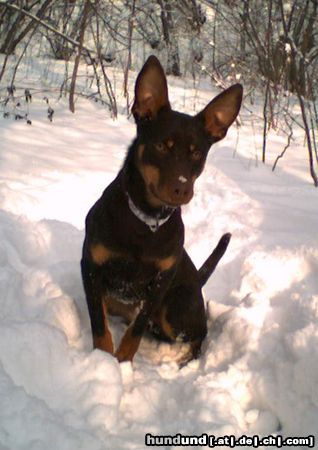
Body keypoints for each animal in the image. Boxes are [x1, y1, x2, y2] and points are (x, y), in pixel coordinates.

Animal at [80, 57, 242, 366]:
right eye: (160, 146)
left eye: (196, 153)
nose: (182, 189)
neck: (147, 221)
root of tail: (198, 283)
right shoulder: (92, 269)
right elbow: (99, 325)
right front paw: (104, 362)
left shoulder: (159, 283)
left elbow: (136, 330)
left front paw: (122, 363)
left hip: (174, 308)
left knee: (199, 333)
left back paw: (187, 360)